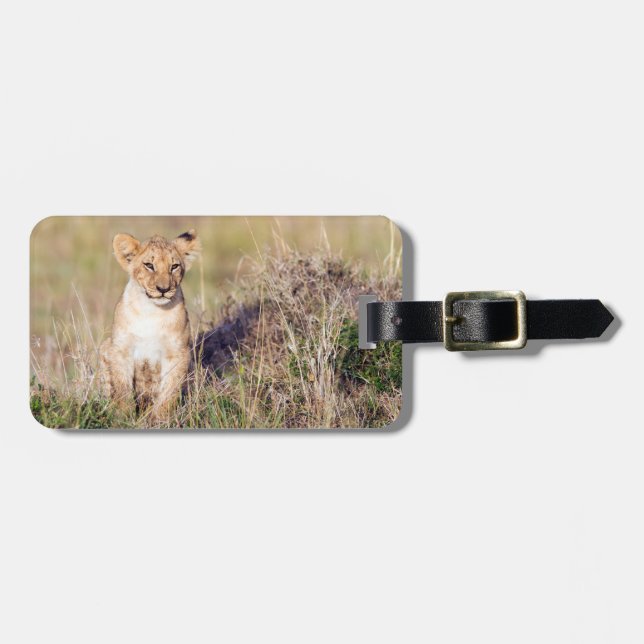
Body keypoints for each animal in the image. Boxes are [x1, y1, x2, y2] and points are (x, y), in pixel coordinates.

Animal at [99, 230, 201, 424]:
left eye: (174, 266)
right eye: (149, 265)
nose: (163, 289)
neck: (152, 311)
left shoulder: (178, 353)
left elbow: (169, 392)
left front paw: (160, 420)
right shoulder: (120, 349)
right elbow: (122, 389)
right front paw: (123, 418)